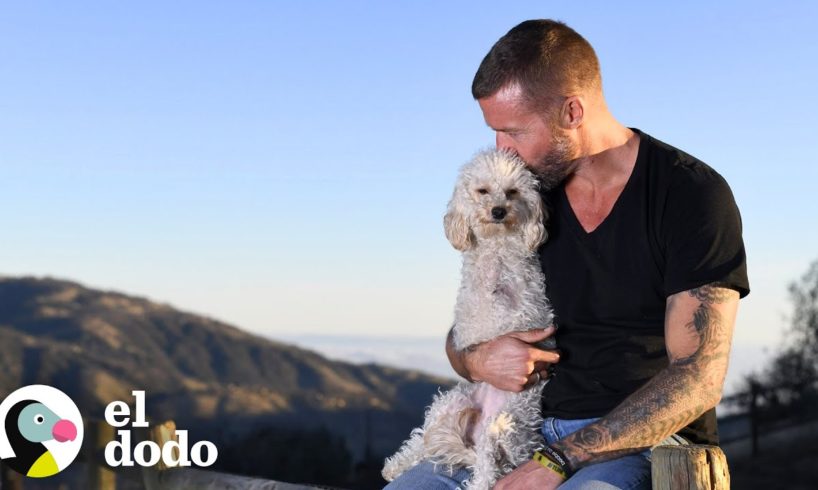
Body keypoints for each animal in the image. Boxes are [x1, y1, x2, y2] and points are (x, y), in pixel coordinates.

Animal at [382, 149, 556, 490]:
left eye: (512, 192)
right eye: (483, 190)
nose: (499, 211)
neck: (496, 247)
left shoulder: (524, 299)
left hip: (506, 427)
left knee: (488, 470)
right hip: (450, 405)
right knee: (422, 442)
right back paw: (395, 466)